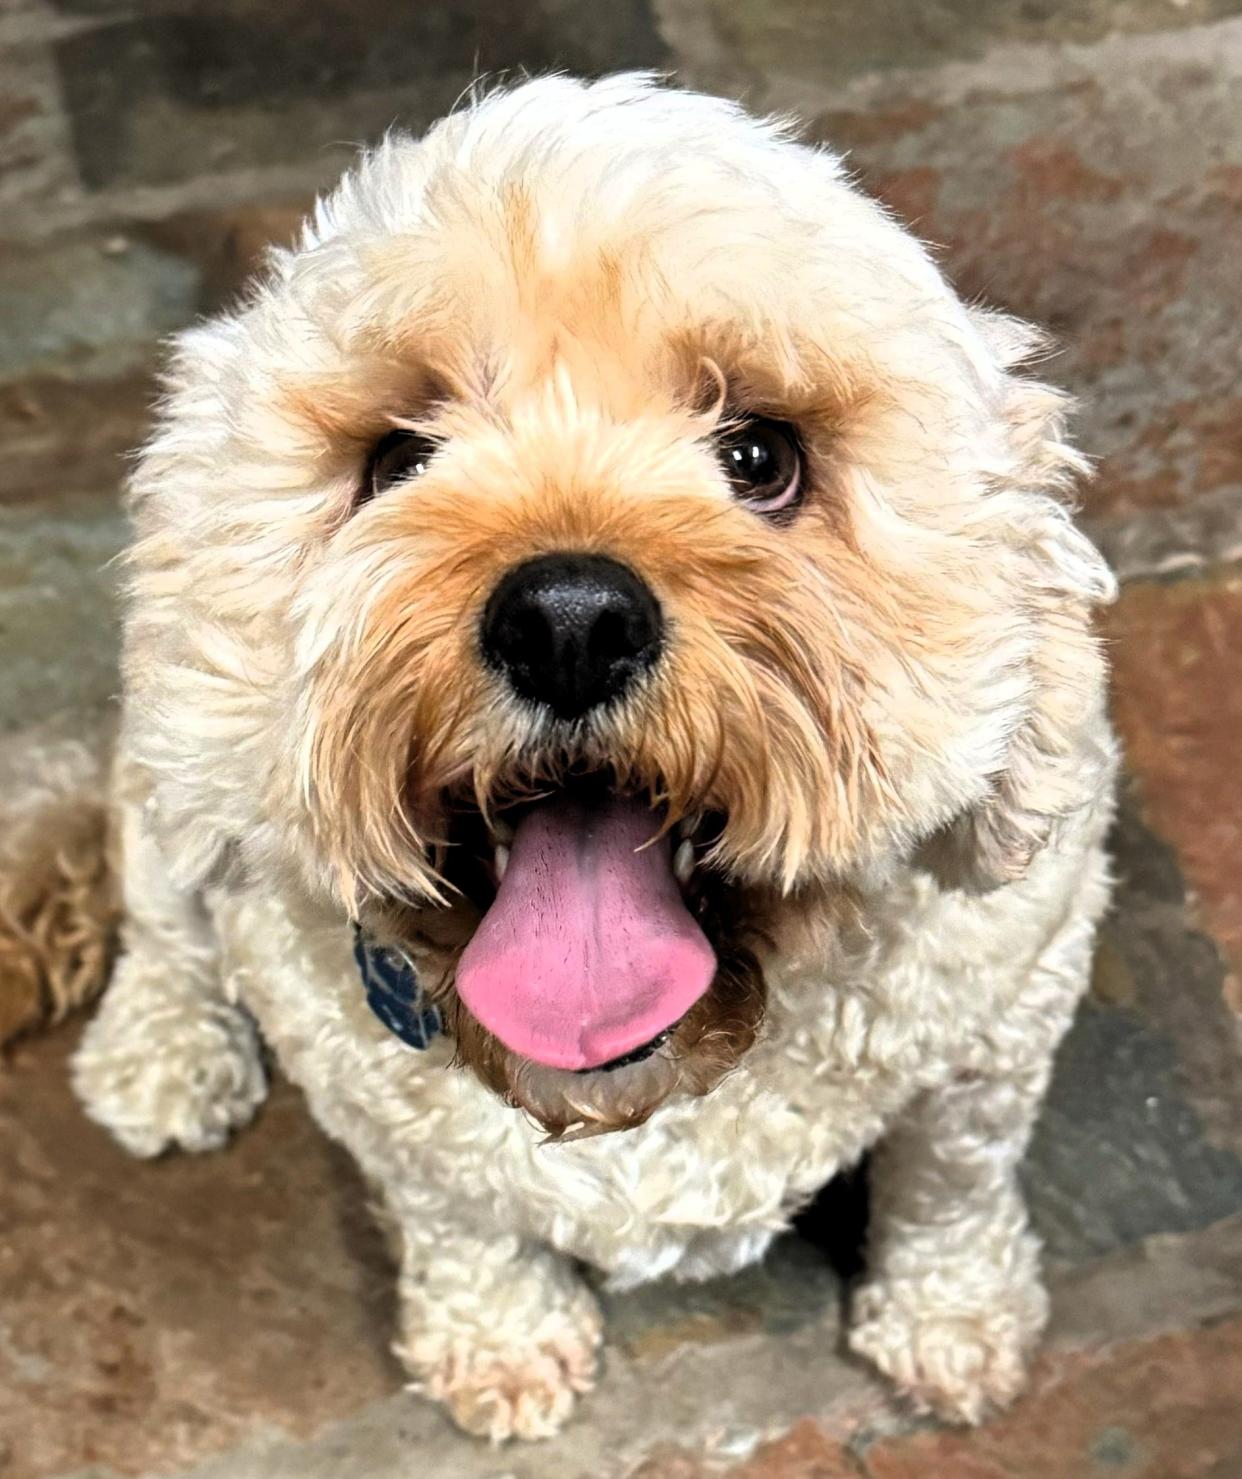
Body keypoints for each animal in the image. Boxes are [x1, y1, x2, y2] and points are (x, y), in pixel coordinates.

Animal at [4, 75, 1117, 1437]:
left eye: (761, 456)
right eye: (396, 459)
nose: (569, 622)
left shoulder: (998, 1024)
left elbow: (948, 1187)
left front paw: (951, 1325)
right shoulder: (383, 1106)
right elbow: (460, 1217)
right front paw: (502, 1341)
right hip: (171, 786)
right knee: (161, 912)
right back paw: (160, 1049)